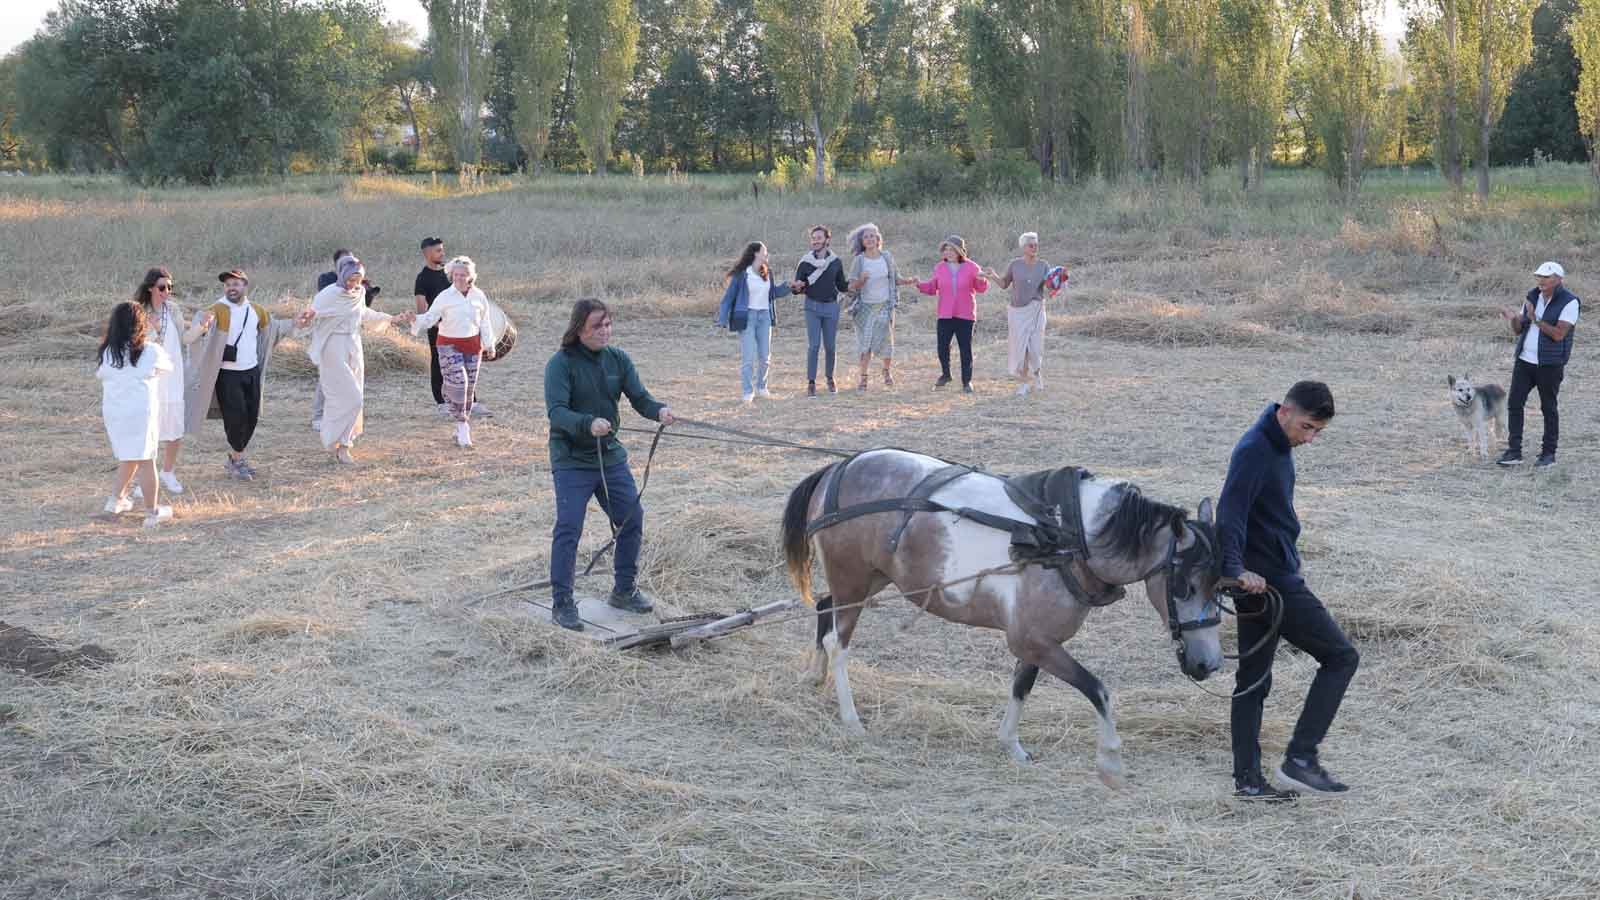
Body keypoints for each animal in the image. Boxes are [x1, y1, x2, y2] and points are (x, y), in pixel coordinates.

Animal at [777, 448, 1222, 784]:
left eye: (1221, 585)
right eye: (1184, 585)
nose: (1210, 664)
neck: (1070, 537)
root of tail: (838, 469)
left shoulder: (1036, 640)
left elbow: (1021, 685)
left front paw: (1011, 744)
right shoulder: (1033, 638)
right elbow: (1098, 690)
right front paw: (1110, 761)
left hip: (868, 579)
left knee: (823, 609)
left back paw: (814, 676)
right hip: (853, 580)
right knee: (838, 642)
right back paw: (851, 718)